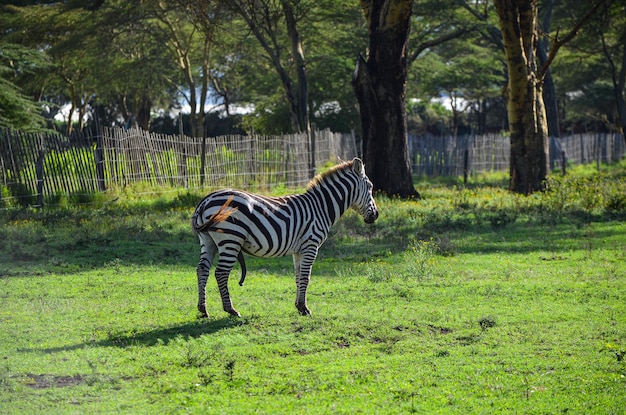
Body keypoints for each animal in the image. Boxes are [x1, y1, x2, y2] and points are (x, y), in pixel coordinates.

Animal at [190, 158, 378, 316]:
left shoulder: (299, 250)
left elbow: (298, 276)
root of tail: (205, 201)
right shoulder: (311, 245)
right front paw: (304, 308)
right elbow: (306, 276)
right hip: (231, 239)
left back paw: (203, 309)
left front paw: (299, 306)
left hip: (208, 241)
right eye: (370, 187)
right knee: (221, 273)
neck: (321, 207)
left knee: (202, 269)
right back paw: (231, 310)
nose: (375, 215)